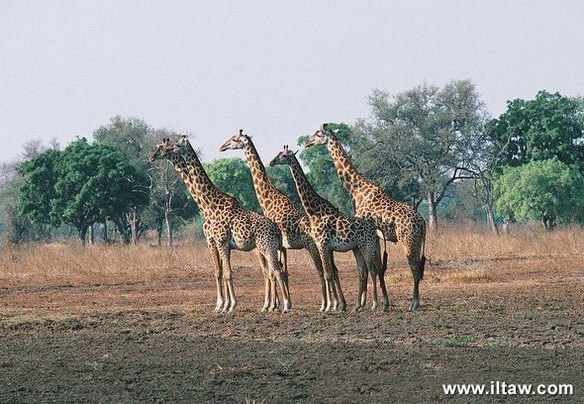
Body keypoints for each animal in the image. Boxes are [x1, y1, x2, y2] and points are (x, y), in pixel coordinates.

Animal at [148, 136, 290, 312]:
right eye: (164, 147)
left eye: (173, 146)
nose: (151, 157)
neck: (208, 205)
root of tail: (277, 231)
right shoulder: (218, 243)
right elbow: (220, 272)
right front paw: (222, 305)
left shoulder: (218, 241)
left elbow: (226, 273)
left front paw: (229, 305)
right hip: (268, 248)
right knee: (275, 271)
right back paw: (273, 305)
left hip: (267, 247)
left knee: (276, 271)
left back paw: (284, 305)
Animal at [219, 131, 336, 310]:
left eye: (234, 140)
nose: (222, 147)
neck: (269, 199)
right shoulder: (282, 246)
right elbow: (282, 271)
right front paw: (279, 304)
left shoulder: (273, 245)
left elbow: (274, 271)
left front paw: (272, 305)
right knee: (333, 270)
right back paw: (339, 303)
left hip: (314, 247)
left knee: (322, 271)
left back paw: (327, 304)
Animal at [270, 145, 392, 312]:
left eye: (283, 155)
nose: (271, 162)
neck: (314, 211)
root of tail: (375, 226)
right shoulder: (326, 247)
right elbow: (330, 273)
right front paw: (333, 305)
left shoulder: (322, 244)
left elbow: (328, 274)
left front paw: (328, 306)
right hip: (358, 248)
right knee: (365, 271)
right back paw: (364, 306)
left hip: (367, 245)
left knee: (373, 270)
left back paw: (375, 304)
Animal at [306, 124, 424, 310]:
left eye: (318, 134)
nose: (307, 142)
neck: (355, 189)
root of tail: (423, 222)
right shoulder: (373, 237)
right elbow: (375, 268)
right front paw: (375, 303)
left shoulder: (365, 235)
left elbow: (368, 269)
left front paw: (363, 303)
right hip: (417, 241)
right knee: (418, 266)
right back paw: (414, 302)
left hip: (408, 240)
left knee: (414, 267)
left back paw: (413, 304)